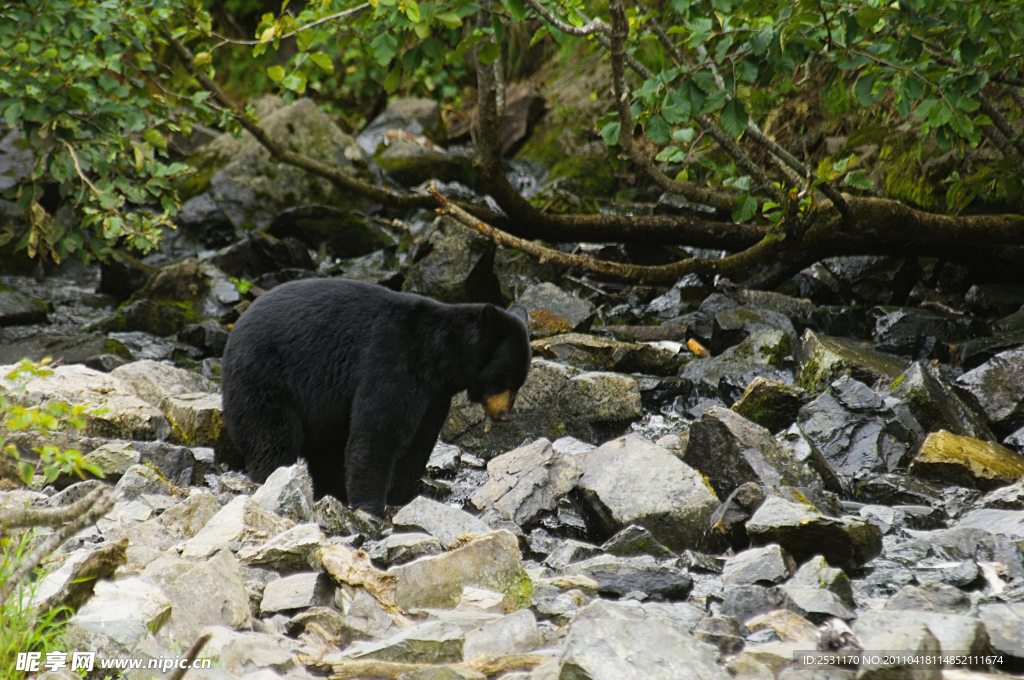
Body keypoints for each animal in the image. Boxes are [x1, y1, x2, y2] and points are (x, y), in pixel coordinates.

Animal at [221, 276, 532, 516]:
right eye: (504, 378)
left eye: (520, 382)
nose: (505, 415)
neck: (440, 356)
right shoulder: (392, 359)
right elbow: (379, 431)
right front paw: (370, 507)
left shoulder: (434, 395)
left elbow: (419, 441)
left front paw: (401, 498)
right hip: (264, 380)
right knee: (273, 438)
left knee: (326, 451)